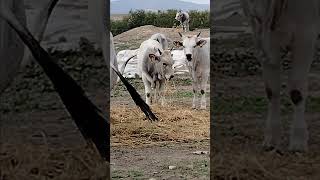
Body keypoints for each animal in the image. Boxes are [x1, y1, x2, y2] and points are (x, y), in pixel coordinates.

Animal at [240, 0, 320, 152]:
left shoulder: (305, 35)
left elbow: (296, 90)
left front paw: (298, 141)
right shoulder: (261, 37)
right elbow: (272, 90)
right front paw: (272, 139)